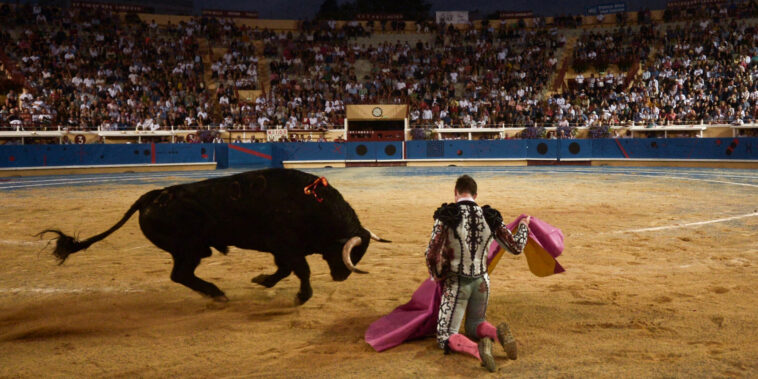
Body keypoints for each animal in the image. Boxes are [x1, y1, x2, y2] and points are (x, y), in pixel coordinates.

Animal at [40, 169, 388, 306]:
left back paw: (215, 293)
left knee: (182, 275)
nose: (342, 276)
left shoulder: (281, 249)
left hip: (192, 250)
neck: (313, 203)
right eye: (349, 252)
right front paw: (302, 296)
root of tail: (153, 196)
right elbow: (299, 270)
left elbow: (283, 270)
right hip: (188, 248)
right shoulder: (286, 245)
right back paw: (217, 293)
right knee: (181, 274)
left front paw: (262, 281)